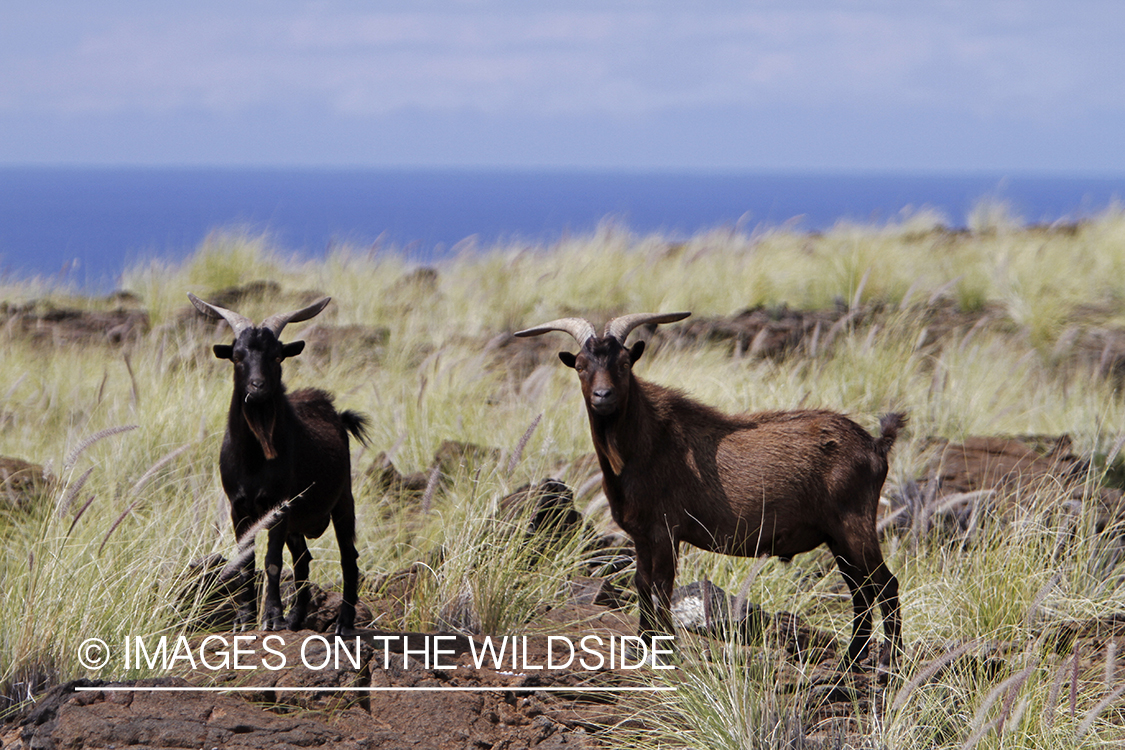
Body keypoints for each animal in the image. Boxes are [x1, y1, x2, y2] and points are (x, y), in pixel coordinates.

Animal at [189, 293, 370, 634]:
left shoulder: (278, 505)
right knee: (303, 558)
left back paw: (343, 623)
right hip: (297, 522)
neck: (254, 460)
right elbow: (246, 563)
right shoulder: (239, 508)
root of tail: (336, 414)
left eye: (276, 356)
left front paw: (272, 617)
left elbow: (272, 561)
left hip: (342, 500)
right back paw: (296, 619)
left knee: (347, 556)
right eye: (237, 356)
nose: (257, 387)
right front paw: (245, 619)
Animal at [515, 312, 905, 670]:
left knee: (885, 585)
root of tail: (876, 445)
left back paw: (891, 663)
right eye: (581, 366)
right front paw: (641, 646)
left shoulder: (666, 530)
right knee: (861, 591)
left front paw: (664, 649)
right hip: (836, 536)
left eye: (624, 363)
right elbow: (642, 582)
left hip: (854, 523)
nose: (603, 396)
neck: (647, 442)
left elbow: (661, 585)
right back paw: (850, 661)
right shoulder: (641, 535)